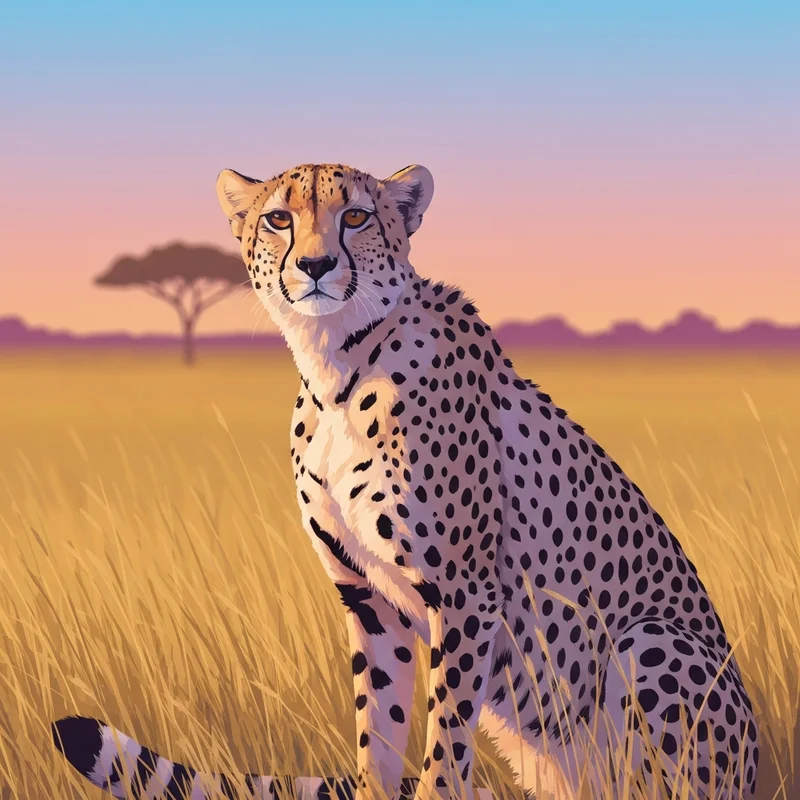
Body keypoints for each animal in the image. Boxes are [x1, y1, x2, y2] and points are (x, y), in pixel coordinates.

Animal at [53, 162, 759, 800]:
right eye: (279, 219)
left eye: (355, 217)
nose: (314, 266)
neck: (336, 366)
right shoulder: (367, 595)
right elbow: (381, 730)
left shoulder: (467, 595)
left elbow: (445, 737)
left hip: (652, 643)